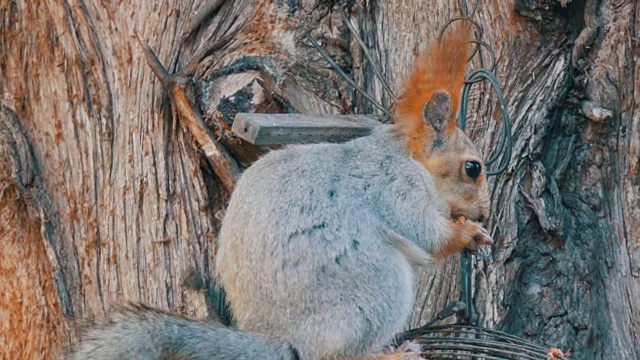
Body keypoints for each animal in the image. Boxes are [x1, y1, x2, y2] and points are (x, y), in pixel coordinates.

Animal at [65, 22, 492, 360]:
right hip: (380, 288)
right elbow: (422, 231)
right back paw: (392, 354)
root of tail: (281, 338)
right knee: (335, 355)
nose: (485, 213)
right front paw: (468, 235)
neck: (410, 159)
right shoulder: (392, 185)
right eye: (472, 168)